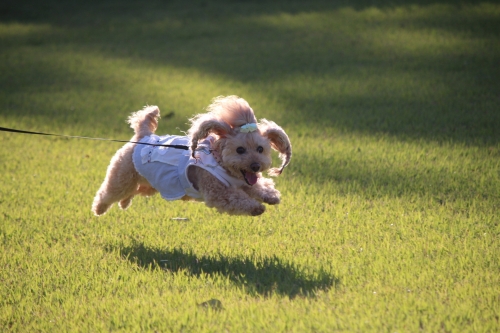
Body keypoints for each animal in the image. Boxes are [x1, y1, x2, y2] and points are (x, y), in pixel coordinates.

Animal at [92, 94, 292, 217]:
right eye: (240, 150)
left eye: (260, 149)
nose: (255, 166)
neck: (220, 163)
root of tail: (143, 135)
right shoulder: (217, 190)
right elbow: (235, 198)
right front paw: (256, 208)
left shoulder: (245, 182)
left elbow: (260, 187)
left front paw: (271, 197)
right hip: (122, 177)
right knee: (109, 193)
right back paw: (99, 209)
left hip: (152, 184)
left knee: (135, 190)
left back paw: (124, 203)